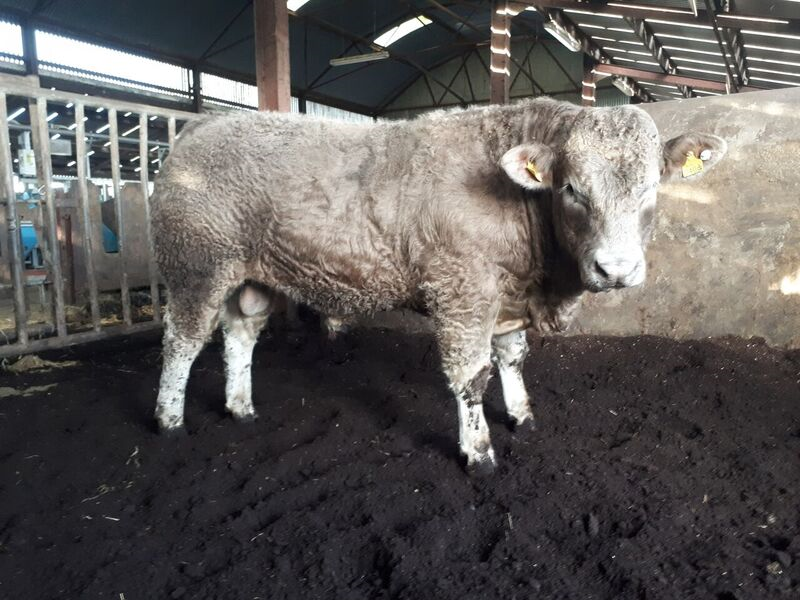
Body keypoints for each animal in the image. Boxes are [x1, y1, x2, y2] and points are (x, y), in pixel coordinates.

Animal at [150, 98, 726, 476]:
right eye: (571, 189)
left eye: (651, 188)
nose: (616, 268)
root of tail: (207, 123)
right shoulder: (463, 294)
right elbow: (471, 377)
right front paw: (479, 452)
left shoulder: (506, 297)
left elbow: (512, 359)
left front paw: (522, 415)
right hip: (196, 267)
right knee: (182, 342)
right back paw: (170, 422)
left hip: (251, 277)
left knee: (240, 334)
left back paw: (241, 408)